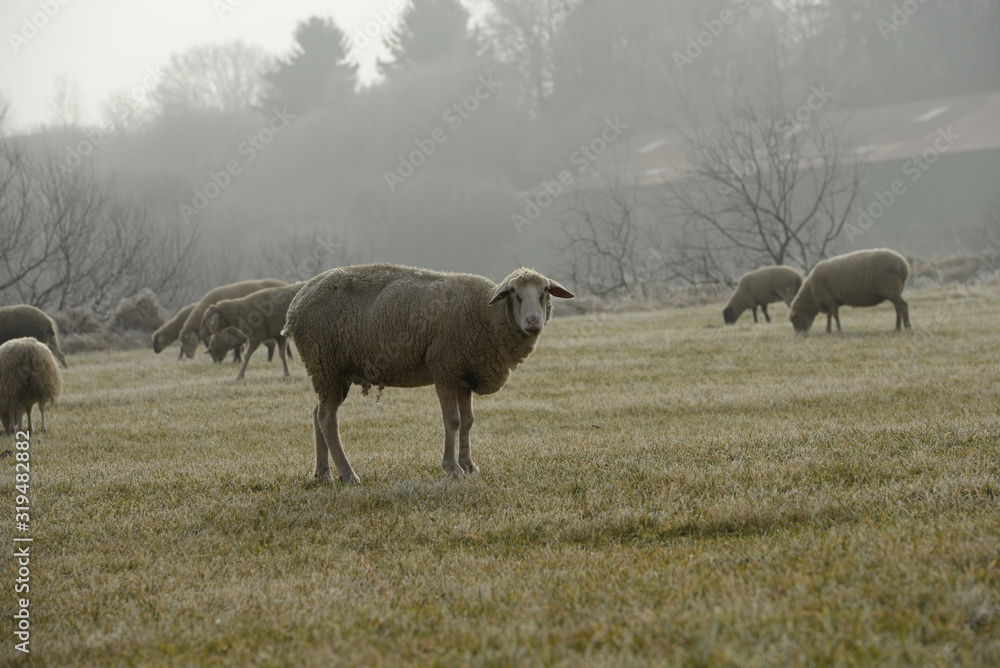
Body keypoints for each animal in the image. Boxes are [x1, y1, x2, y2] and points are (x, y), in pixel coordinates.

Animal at [282, 264, 574, 484]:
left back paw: (323, 474)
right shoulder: (445, 369)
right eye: (514, 292)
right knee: (327, 419)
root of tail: (297, 302)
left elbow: (468, 421)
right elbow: (452, 421)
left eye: (545, 291)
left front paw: (469, 465)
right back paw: (348, 475)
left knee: (318, 414)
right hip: (325, 362)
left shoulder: (463, 376)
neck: (487, 315)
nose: (533, 322)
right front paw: (452, 468)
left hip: (330, 371)